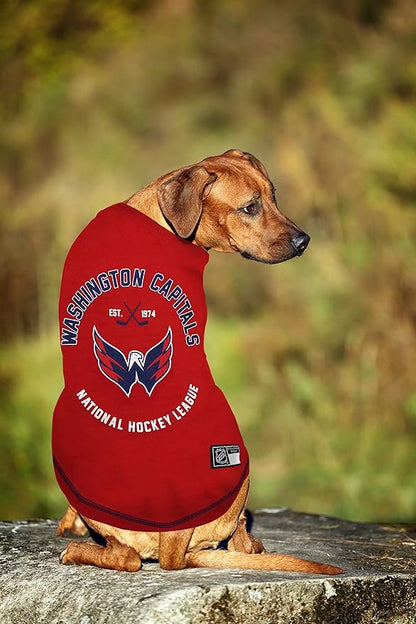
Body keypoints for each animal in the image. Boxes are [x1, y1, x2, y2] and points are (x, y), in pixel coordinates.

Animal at [53, 150, 342, 576]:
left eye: (273, 197)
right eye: (249, 207)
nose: (304, 240)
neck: (162, 218)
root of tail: (174, 542)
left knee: (128, 556)